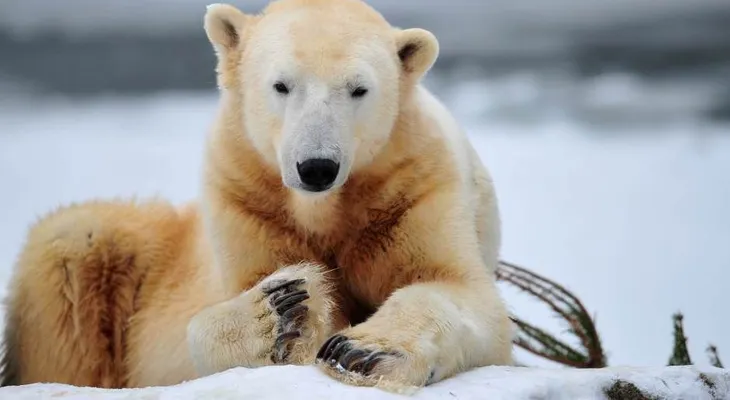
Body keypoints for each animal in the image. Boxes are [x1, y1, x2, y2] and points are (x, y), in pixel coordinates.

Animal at [0, 0, 514, 392]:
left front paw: (359, 350)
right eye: (281, 84)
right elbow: (233, 299)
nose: (316, 167)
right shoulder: (246, 199)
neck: (325, 209)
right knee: (72, 246)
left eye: (359, 89)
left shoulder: (410, 190)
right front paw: (284, 310)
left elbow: (454, 287)